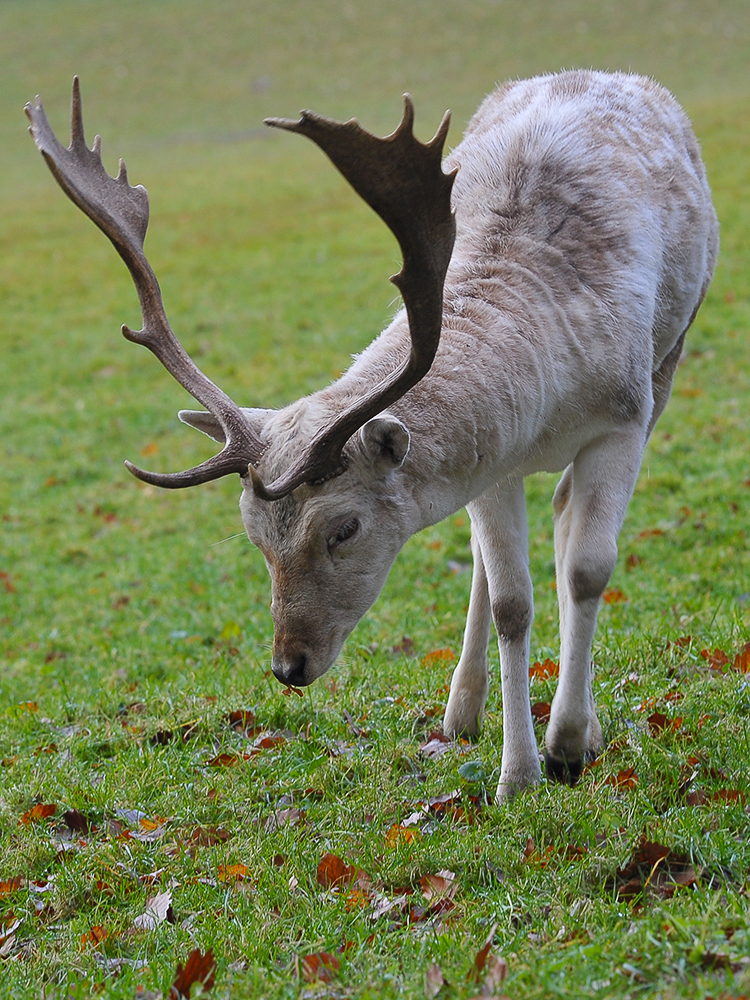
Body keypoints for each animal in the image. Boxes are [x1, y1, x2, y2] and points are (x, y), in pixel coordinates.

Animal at [27, 70, 724, 800]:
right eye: (255, 536)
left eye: (344, 529)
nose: (288, 666)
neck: (549, 394)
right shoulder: (492, 460)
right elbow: (511, 601)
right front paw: (519, 775)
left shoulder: (625, 417)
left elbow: (589, 570)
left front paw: (564, 748)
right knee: (513, 547)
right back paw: (463, 710)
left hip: (671, 357)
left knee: (569, 524)